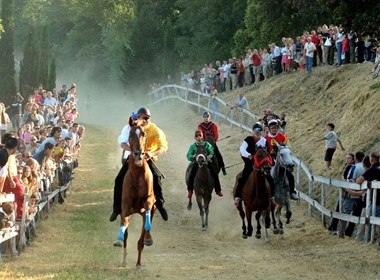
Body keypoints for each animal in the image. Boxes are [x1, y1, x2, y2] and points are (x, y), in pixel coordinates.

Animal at [114, 124, 156, 266]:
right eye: (131, 134)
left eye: (144, 134)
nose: (138, 154)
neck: (137, 175)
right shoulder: (126, 205)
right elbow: (124, 222)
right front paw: (119, 239)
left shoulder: (149, 200)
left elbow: (148, 211)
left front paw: (148, 237)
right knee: (126, 234)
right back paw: (124, 260)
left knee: (141, 240)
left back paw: (138, 262)